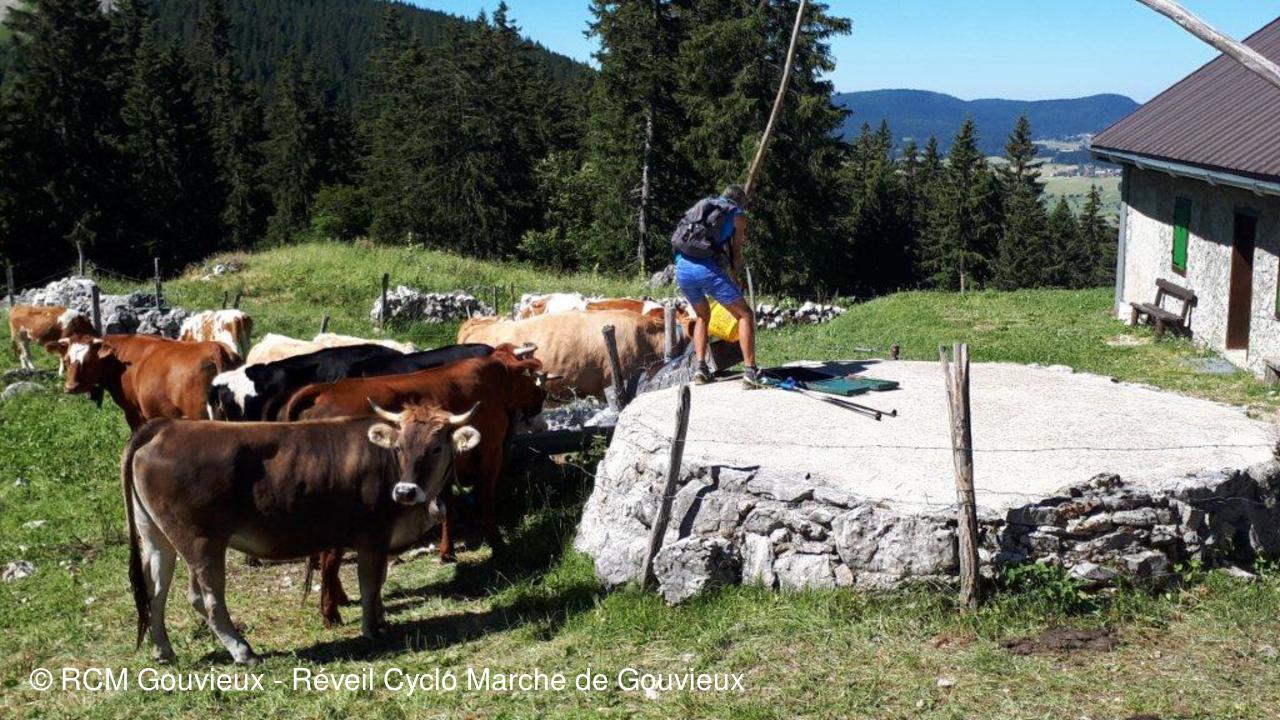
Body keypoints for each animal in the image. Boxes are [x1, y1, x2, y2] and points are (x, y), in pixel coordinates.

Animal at [121, 403, 481, 664]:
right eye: (401, 447)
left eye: (436, 448)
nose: (405, 491)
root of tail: (166, 427)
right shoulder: (372, 536)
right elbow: (370, 584)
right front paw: (371, 628)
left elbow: (378, 583)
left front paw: (381, 620)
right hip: (201, 542)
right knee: (205, 598)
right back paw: (243, 651)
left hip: (156, 537)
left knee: (155, 591)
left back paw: (163, 650)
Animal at [285, 349, 546, 627]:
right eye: (530, 375)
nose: (543, 397)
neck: (497, 378)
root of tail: (324, 391)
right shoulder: (491, 454)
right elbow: (486, 501)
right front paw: (498, 545)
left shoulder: (444, 468)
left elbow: (447, 507)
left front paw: (447, 552)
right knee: (329, 556)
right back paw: (331, 611)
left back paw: (340, 598)